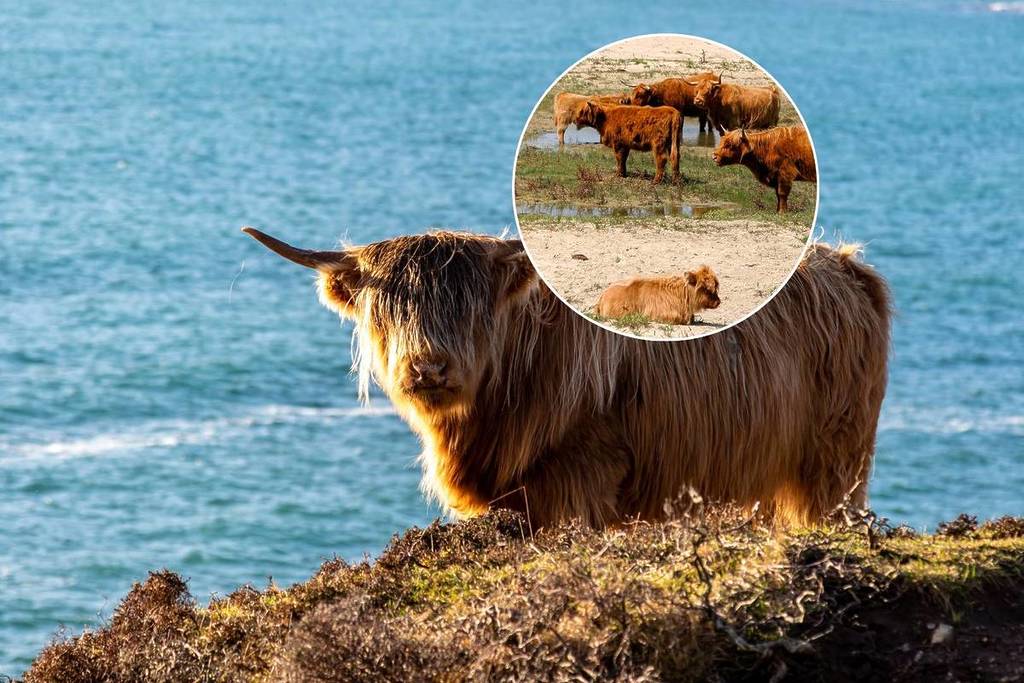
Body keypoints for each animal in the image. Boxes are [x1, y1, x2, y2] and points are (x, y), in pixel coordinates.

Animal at [243, 227, 890, 529]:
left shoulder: (580, 477)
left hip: (837, 460)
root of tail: (847, 264)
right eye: (389, 308)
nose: (429, 366)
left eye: (469, 307)